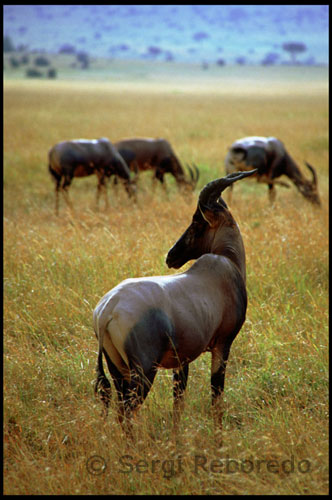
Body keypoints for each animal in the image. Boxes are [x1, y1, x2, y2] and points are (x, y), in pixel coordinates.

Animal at [93, 168, 256, 438]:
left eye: (197, 221)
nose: (171, 256)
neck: (224, 265)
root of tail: (107, 309)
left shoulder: (182, 360)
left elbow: (178, 402)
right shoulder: (222, 345)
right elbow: (216, 396)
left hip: (117, 368)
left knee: (120, 410)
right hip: (144, 371)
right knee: (128, 410)